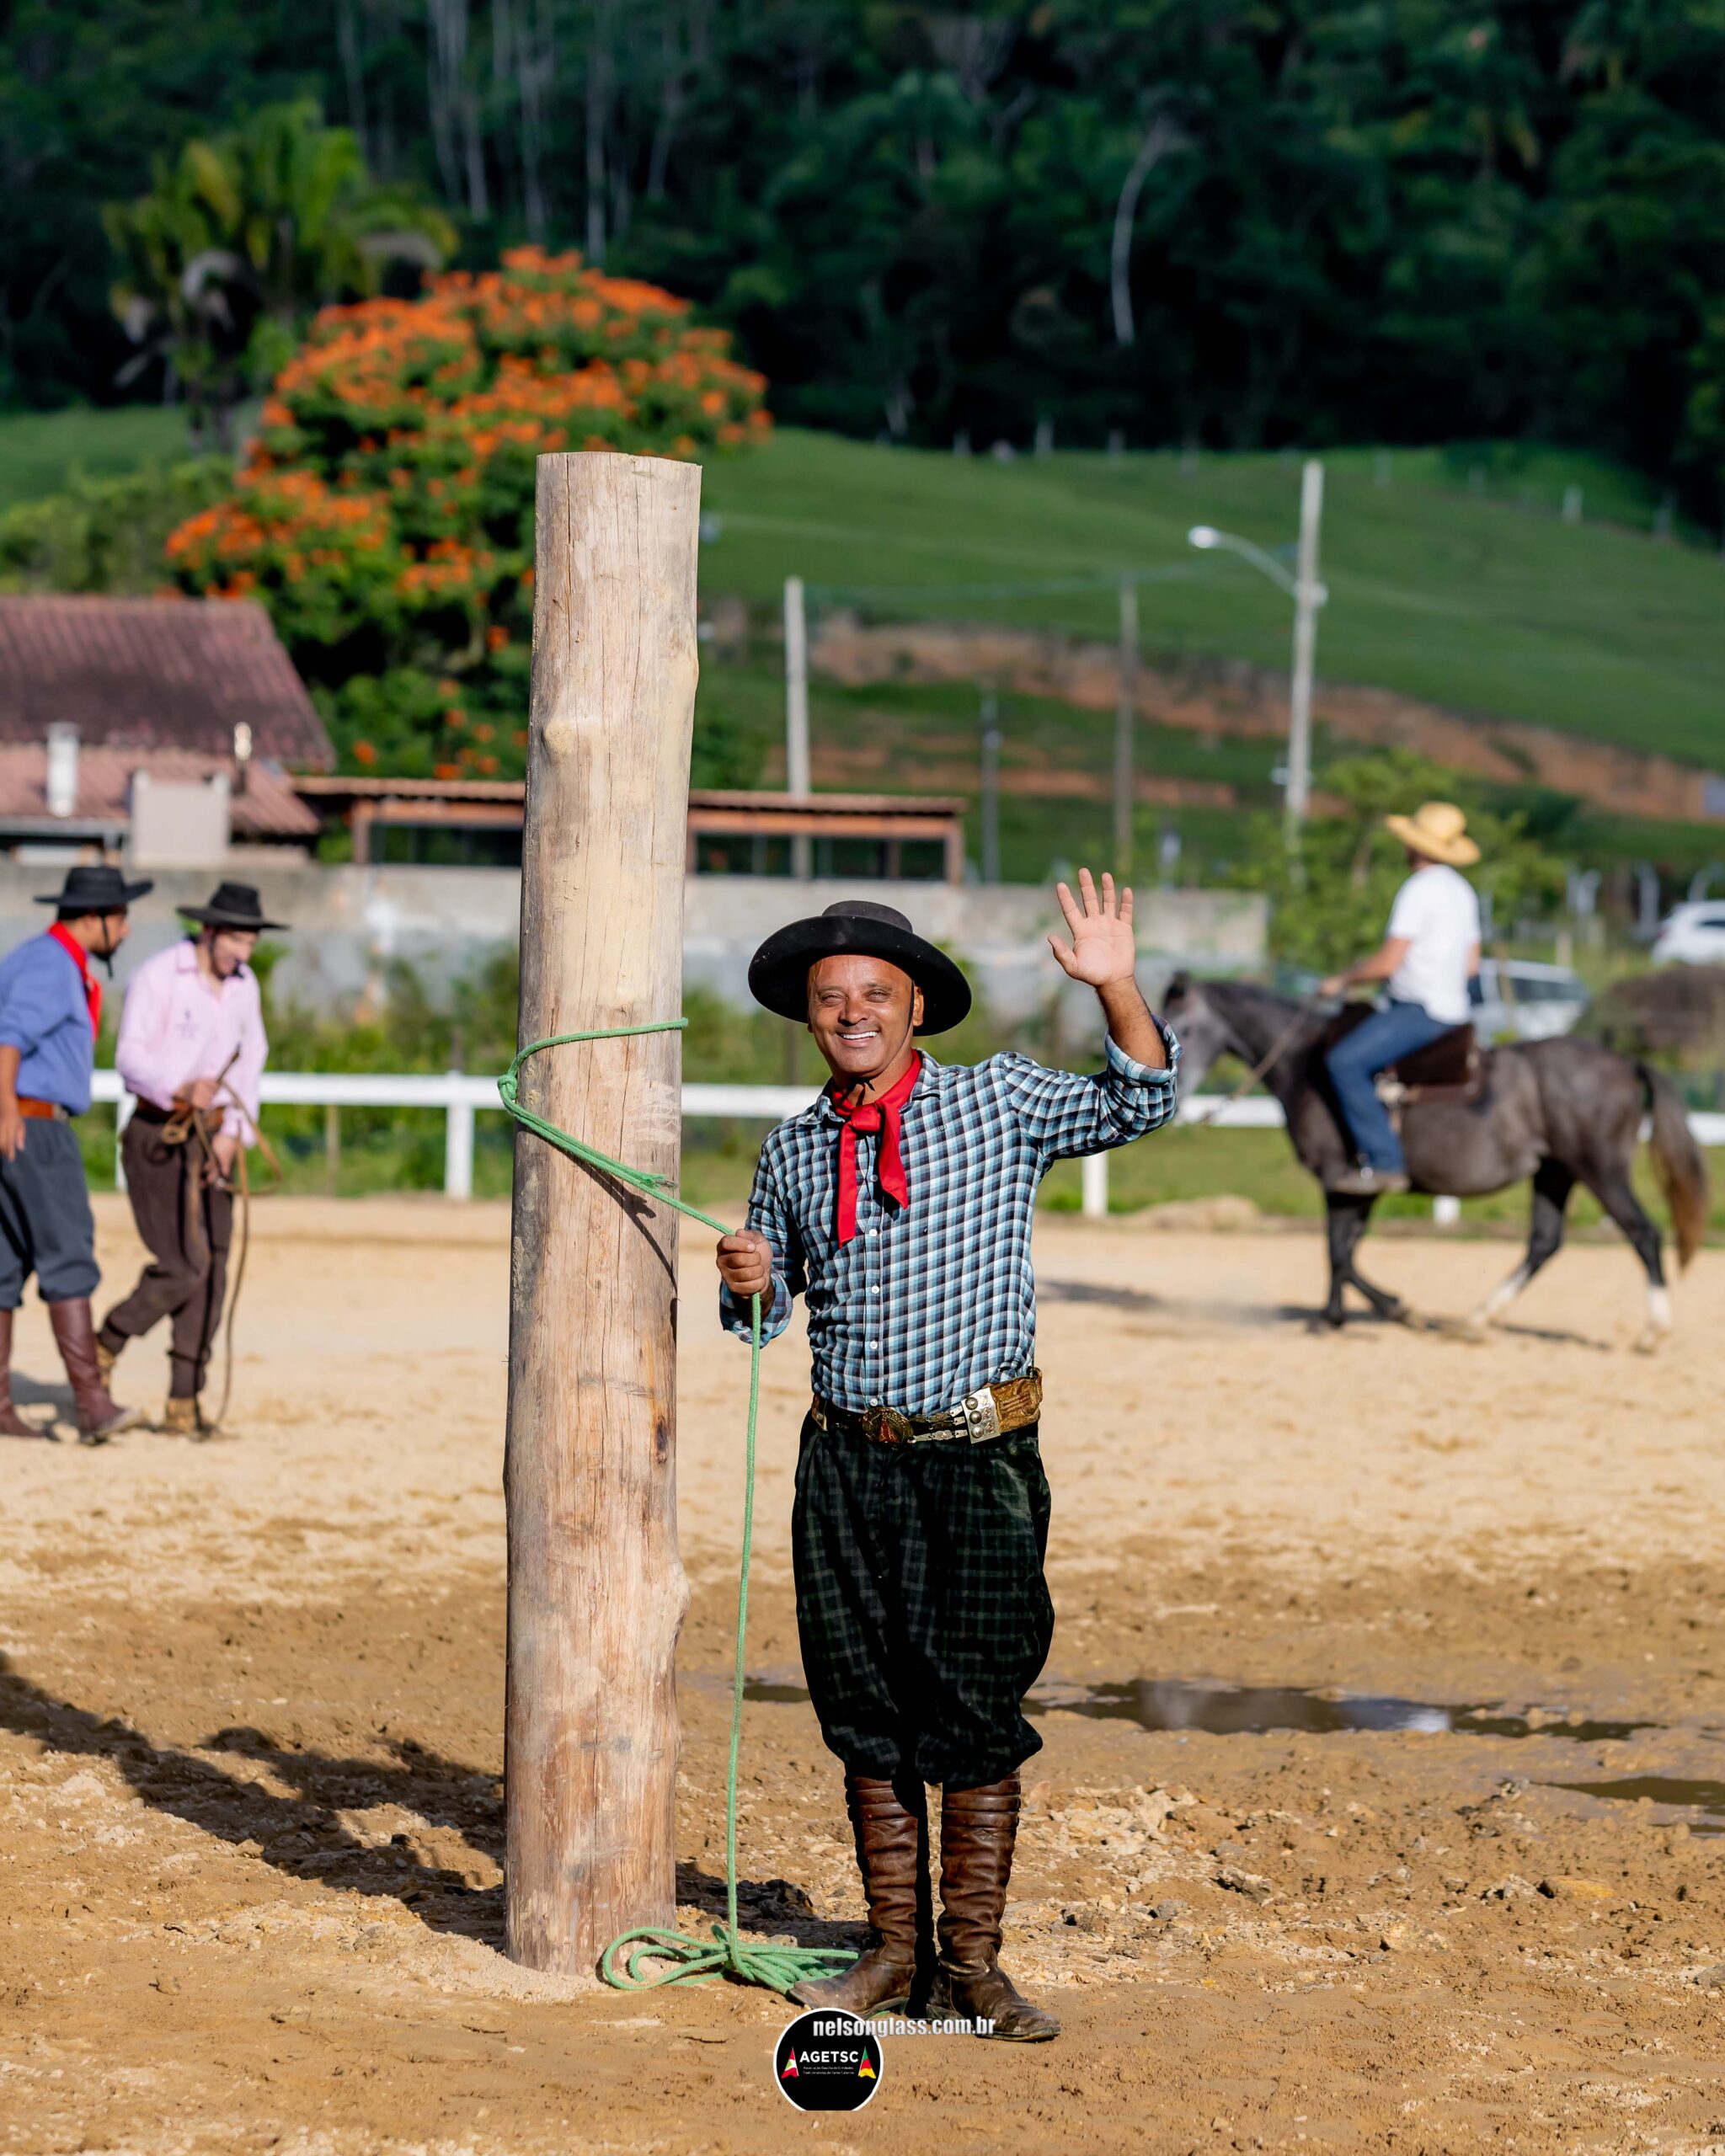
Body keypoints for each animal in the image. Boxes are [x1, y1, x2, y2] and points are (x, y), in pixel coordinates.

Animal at [1159, 974, 1709, 1348]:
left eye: (1181, 1026)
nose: (1172, 1093)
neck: (1304, 1064)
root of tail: (1626, 1062)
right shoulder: (1359, 1186)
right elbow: (1345, 1250)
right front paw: (1347, 1314)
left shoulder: (1339, 1179)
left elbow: (1339, 1252)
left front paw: (1379, 1312)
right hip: (1556, 1172)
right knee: (1544, 1243)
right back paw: (1478, 1319)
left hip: (1601, 1170)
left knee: (1643, 1234)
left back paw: (1654, 1331)